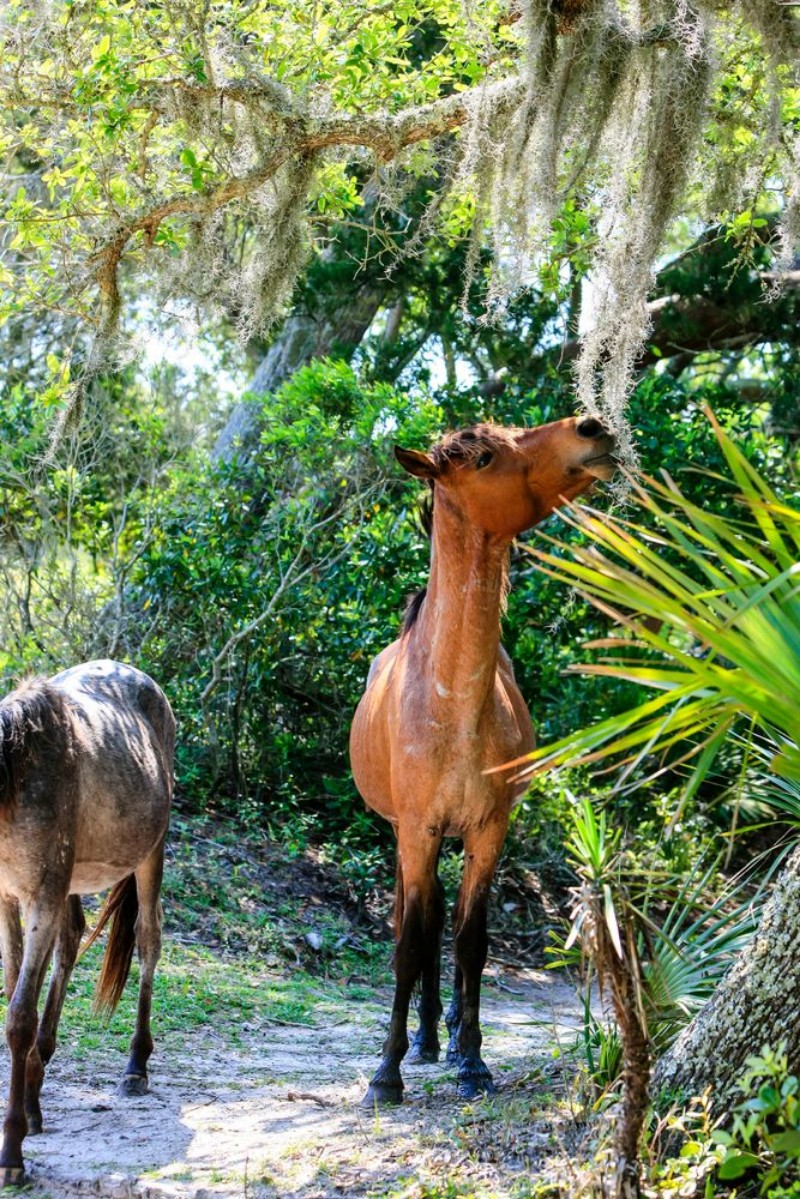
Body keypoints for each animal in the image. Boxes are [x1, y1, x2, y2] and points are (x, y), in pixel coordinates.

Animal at [0, 659, 175, 1184]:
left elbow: (19, 1016)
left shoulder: (41, 896)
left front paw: (11, 1152)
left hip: (150, 853)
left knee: (148, 940)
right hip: (71, 881)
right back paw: (36, 1087)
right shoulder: (7, 899)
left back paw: (135, 1067)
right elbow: (17, 994)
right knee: (72, 939)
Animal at [349, 416, 616, 1105]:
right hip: (405, 833)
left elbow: (471, 941)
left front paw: (472, 1060)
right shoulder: (416, 830)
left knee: (446, 921)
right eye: (486, 457)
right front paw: (386, 1072)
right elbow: (409, 942)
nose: (593, 427)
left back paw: (441, 1036)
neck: (451, 703)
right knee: (414, 921)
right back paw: (420, 1039)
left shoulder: (489, 829)